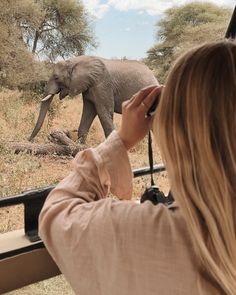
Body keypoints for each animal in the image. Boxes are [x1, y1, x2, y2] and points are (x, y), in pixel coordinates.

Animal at [29, 56, 159, 144]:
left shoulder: (102, 84)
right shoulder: (89, 86)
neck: (76, 61)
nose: (29, 140)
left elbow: (103, 112)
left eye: (56, 77)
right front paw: (79, 147)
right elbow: (89, 111)